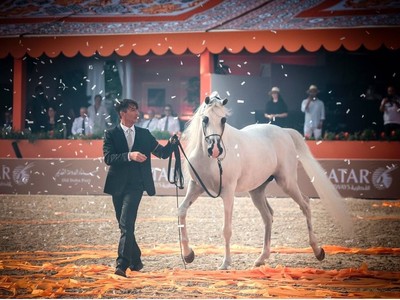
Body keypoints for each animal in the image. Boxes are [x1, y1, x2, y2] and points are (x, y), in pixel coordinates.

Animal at [178, 91, 354, 270]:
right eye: (205, 119)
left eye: (223, 120)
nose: (215, 150)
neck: (211, 161)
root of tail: (284, 132)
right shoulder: (196, 186)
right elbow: (181, 211)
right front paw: (188, 254)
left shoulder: (228, 192)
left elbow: (226, 229)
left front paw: (226, 263)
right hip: (257, 191)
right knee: (268, 216)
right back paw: (262, 258)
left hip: (287, 182)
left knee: (305, 204)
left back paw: (318, 251)